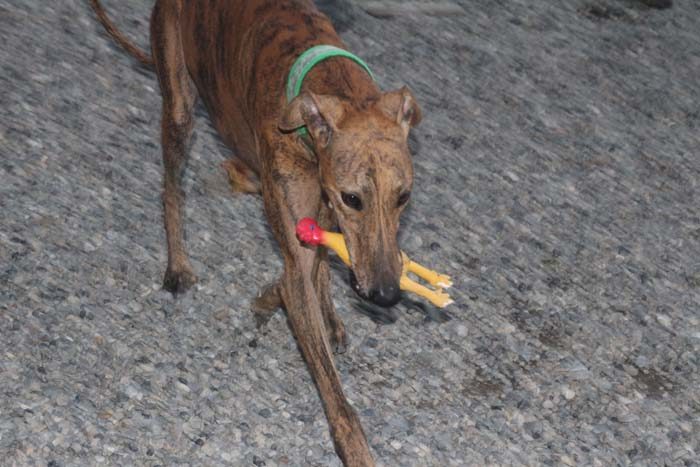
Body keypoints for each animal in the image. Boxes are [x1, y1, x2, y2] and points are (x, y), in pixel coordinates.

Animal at [90, 1, 422, 465]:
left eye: (403, 196)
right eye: (353, 198)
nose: (388, 296)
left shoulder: (318, 217)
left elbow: (312, 269)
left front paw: (295, 304)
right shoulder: (308, 225)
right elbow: (337, 398)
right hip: (179, 105)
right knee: (172, 188)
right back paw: (178, 265)